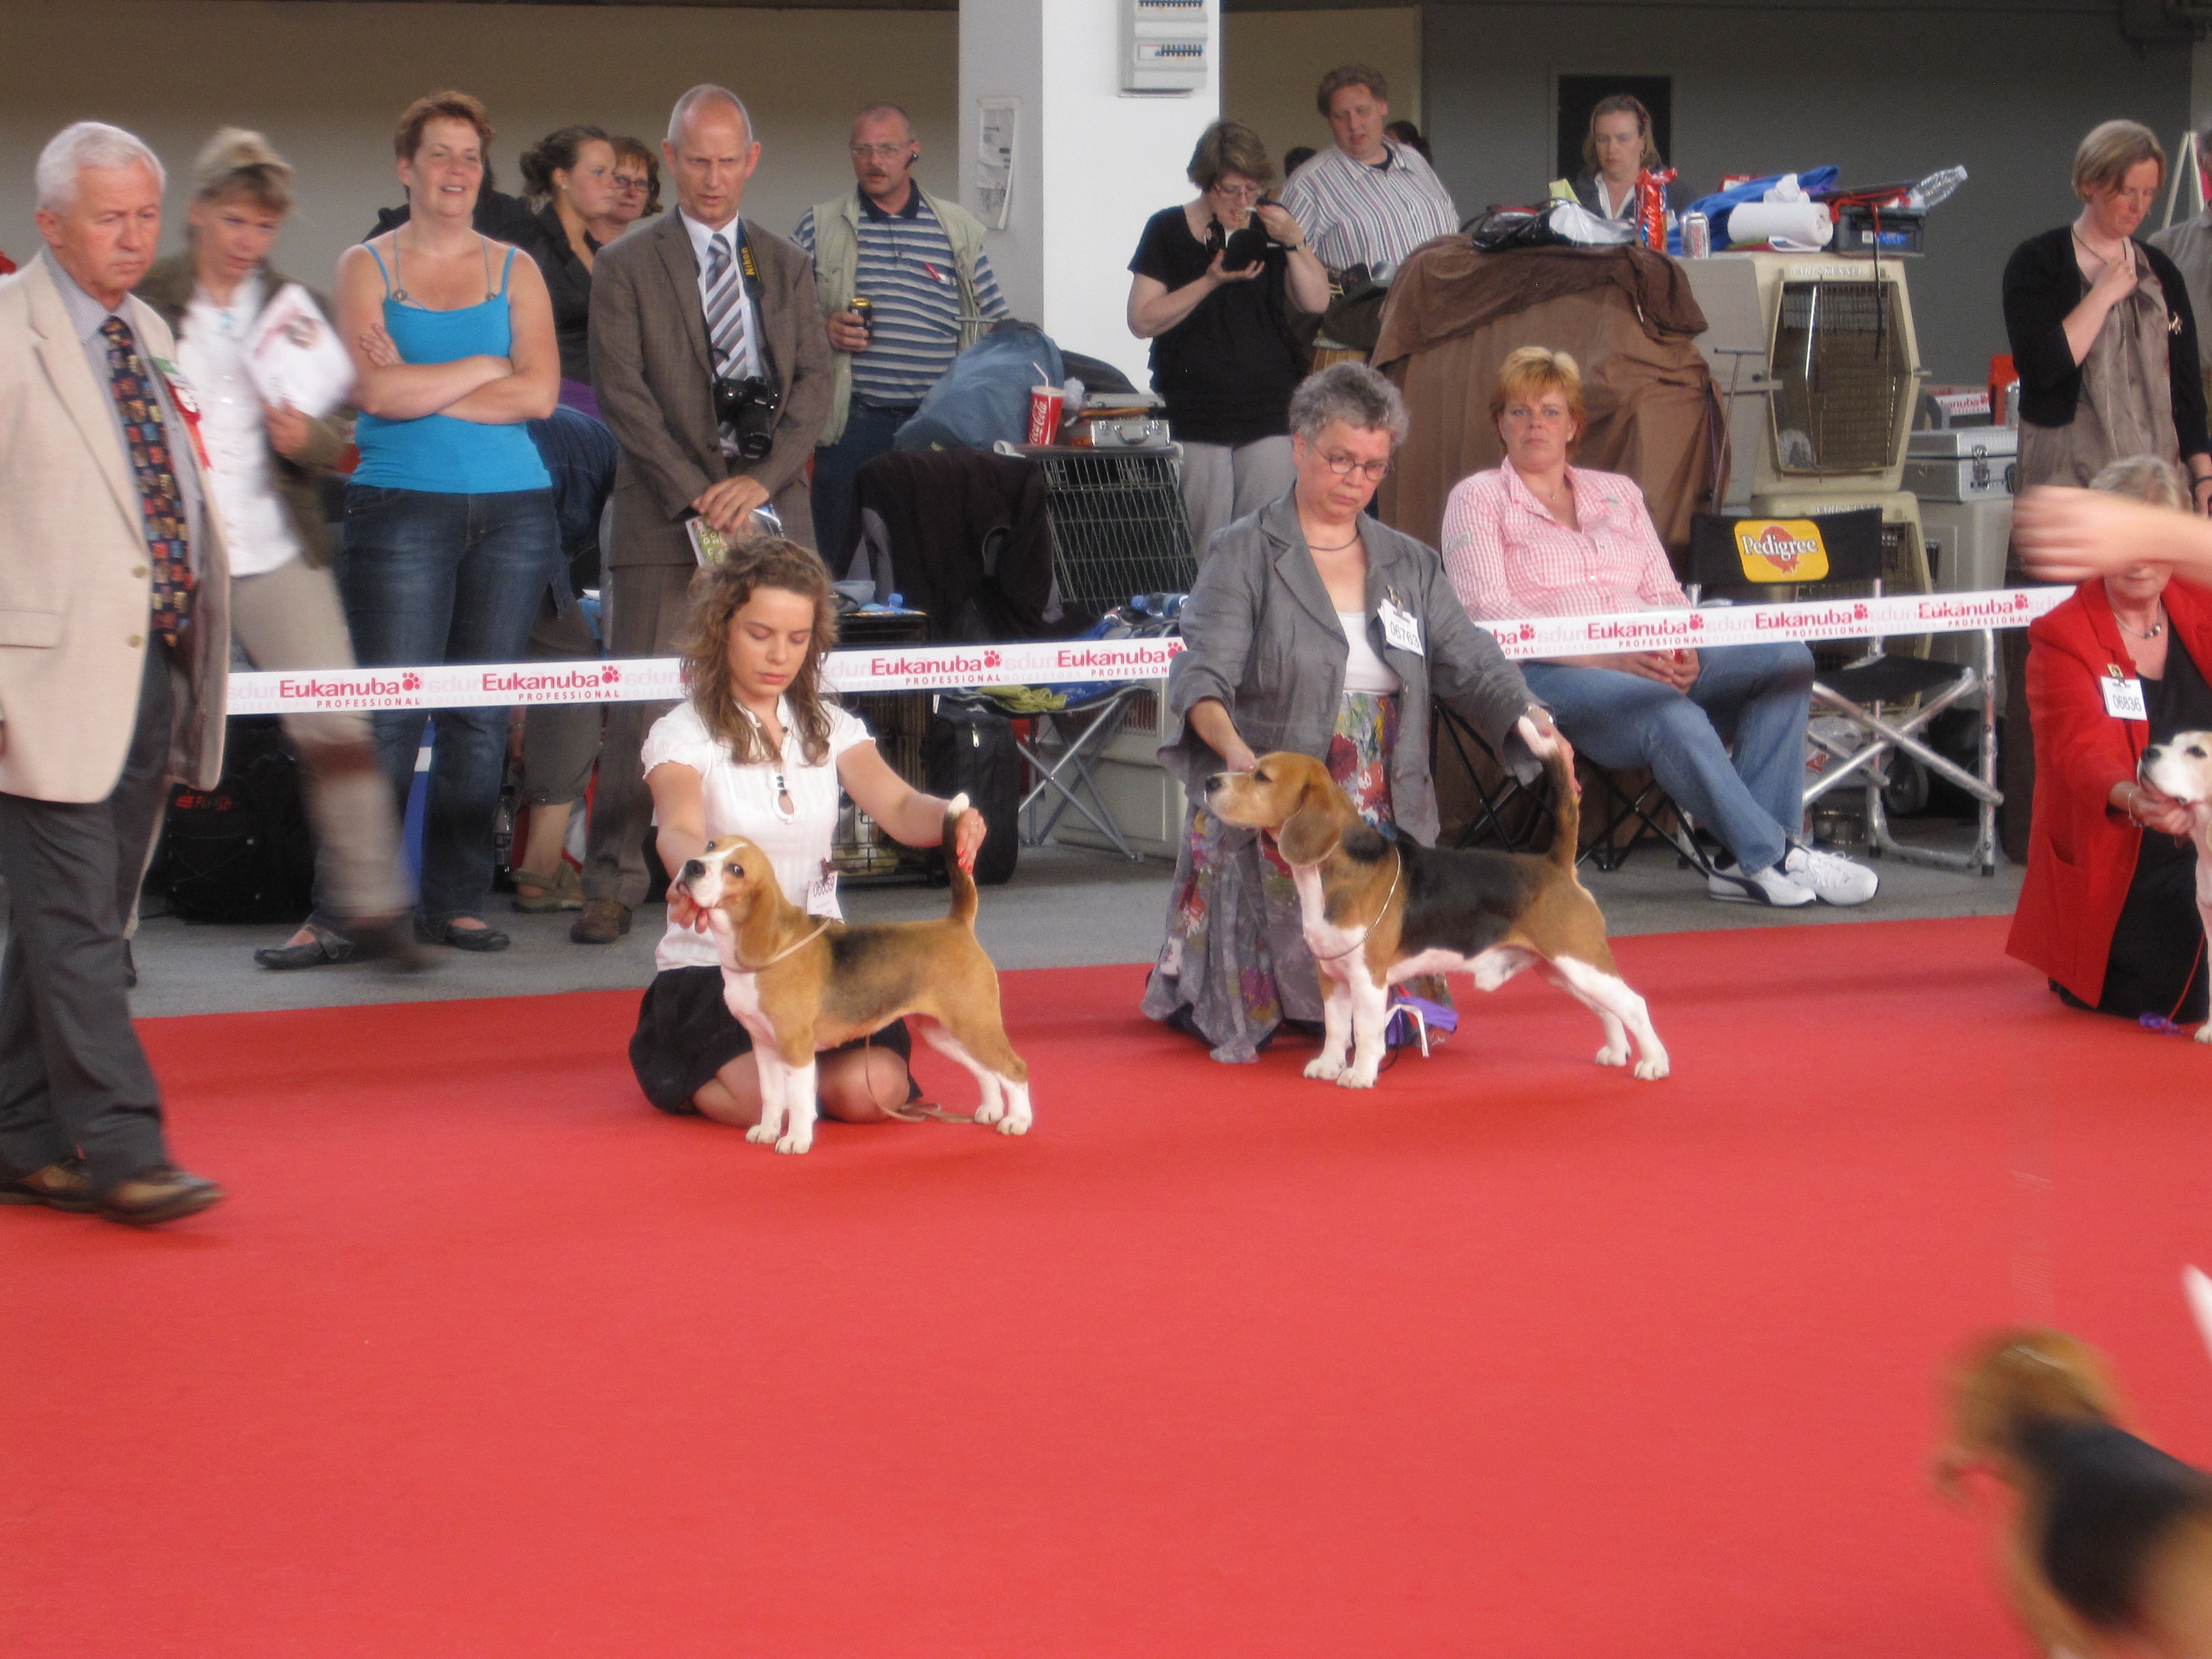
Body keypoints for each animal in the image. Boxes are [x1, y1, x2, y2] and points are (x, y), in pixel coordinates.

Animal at [672, 800, 1026, 1159]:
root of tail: (956, 924)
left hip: (974, 1024)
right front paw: (768, 1131)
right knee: (987, 1070)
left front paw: (796, 1139)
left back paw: (1018, 1121)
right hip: (945, 1032)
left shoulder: (795, 1046)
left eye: (736, 870)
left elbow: (798, 1101)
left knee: (1015, 1070)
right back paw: (992, 1110)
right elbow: (771, 1095)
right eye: (711, 845)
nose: (692, 866)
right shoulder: (764, 1044)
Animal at [1212, 739, 1663, 1093]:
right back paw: (1616, 1052)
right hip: (1563, 970)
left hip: (1581, 961)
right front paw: (1328, 1064)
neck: (1332, 873)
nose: (1210, 782)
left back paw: (1654, 1063)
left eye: (1262, 777)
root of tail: (1556, 863)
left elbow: (1366, 1032)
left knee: (1635, 1004)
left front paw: (1360, 1074)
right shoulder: (1331, 975)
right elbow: (1337, 1027)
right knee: (1608, 1009)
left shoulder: (1368, 979)